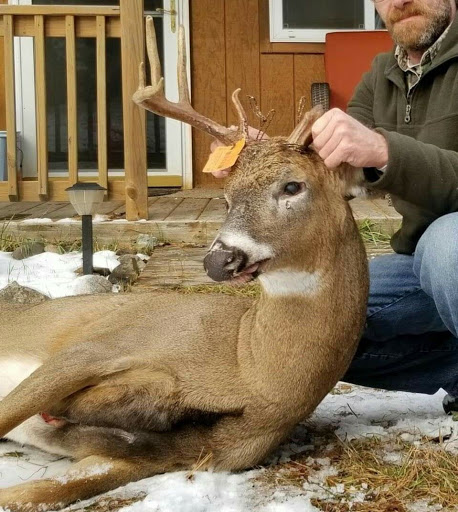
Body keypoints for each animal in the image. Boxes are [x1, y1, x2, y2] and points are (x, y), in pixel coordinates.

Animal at [0, 17, 368, 512]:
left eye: (293, 186)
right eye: (226, 199)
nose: (219, 259)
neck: (247, 371)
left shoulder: (155, 457)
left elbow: (35, 494)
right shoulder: (95, 347)